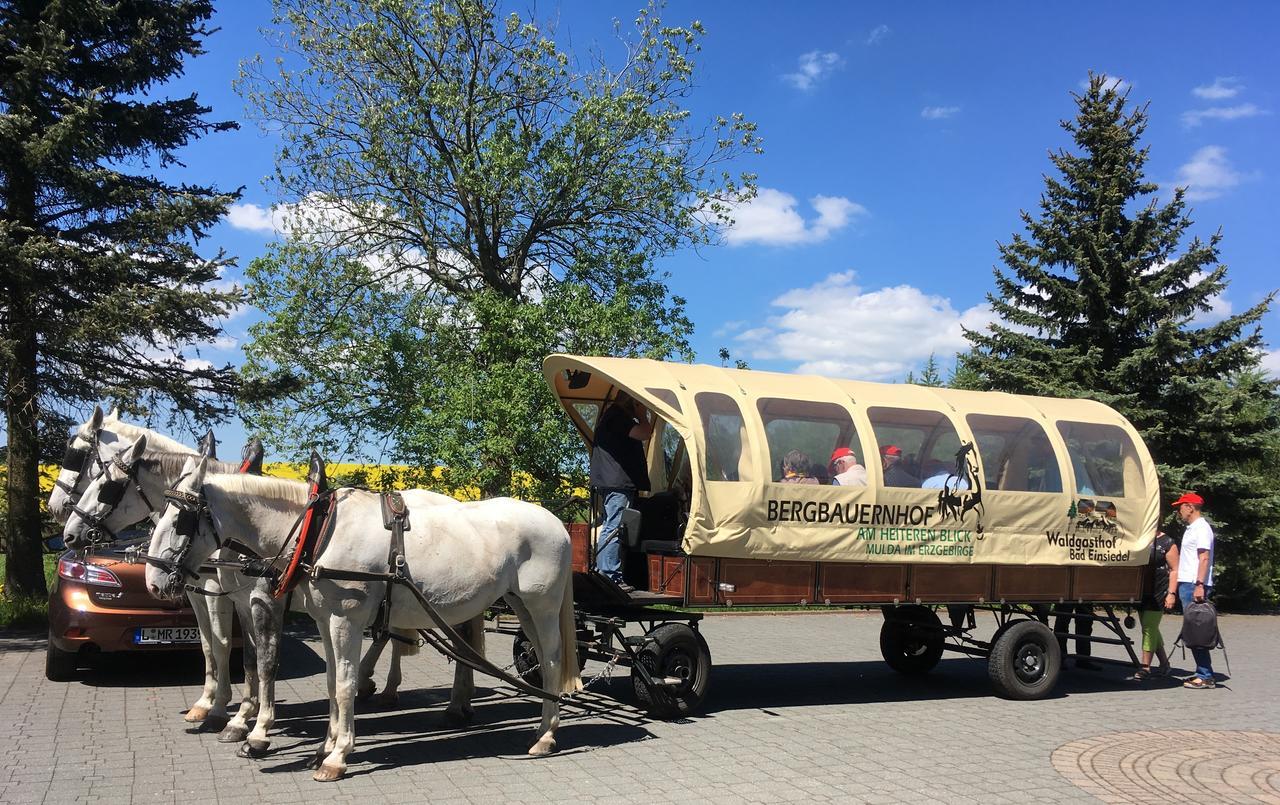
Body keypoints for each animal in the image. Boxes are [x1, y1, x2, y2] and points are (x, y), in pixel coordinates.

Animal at [60, 432, 471, 752]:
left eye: (106, 485)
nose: (69, 534)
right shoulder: (230, 599)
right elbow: (234, 653)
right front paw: (233, 712)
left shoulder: (257, 600)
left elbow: (250, 655)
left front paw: (246, 723)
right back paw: (396, 689)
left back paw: (450, 702)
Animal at [144, 458, 576, 778]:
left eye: (180, 520)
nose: (153, 580)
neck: (317, 531)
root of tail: (557, 523)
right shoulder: (324, 620)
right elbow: (332, 679)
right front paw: (324, 746)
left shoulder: (343, 620)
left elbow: (343, 684)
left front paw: (334, 756)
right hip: (520, 604)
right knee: (540, 658)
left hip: (542, 604)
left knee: (553, 661)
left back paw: (544, 737)